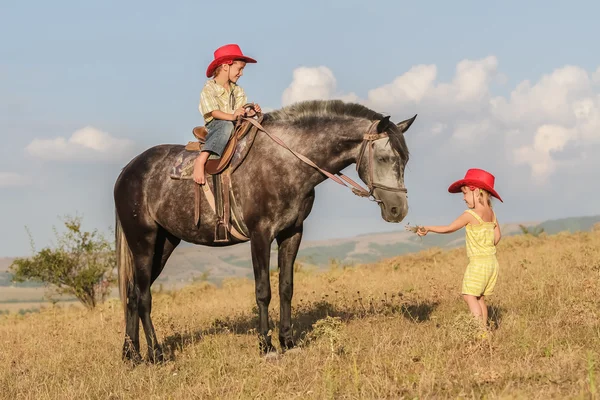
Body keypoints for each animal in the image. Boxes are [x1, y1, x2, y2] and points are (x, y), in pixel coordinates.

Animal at [115, 100, 414, 362]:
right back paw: (156, 354)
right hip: (143, 242)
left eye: (406, 160)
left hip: (165, 243)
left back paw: (131, 355)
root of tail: (126, 171)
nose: (398, 210)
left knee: (132, 294)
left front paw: (288, 341)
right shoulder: (260, 235)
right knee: (144, 297)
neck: (286, 162)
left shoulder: (291, 233)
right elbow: (263, 291)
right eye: (384, 157)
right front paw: (266, 346)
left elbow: (286, 287)